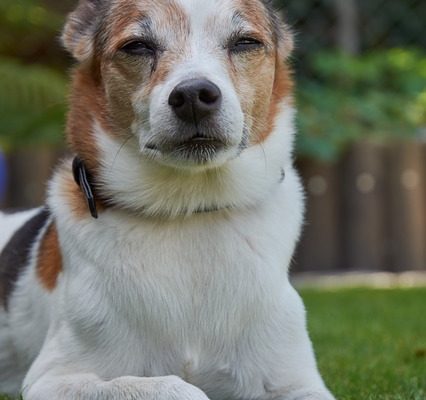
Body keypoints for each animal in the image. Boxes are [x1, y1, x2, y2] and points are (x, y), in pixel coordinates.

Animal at [0, 0, 336, 398]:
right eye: (137, 46)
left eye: (245, 42)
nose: (193, 96)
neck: (187, 211)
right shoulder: (51, 379)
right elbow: (173, 387)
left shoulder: (299, 384)